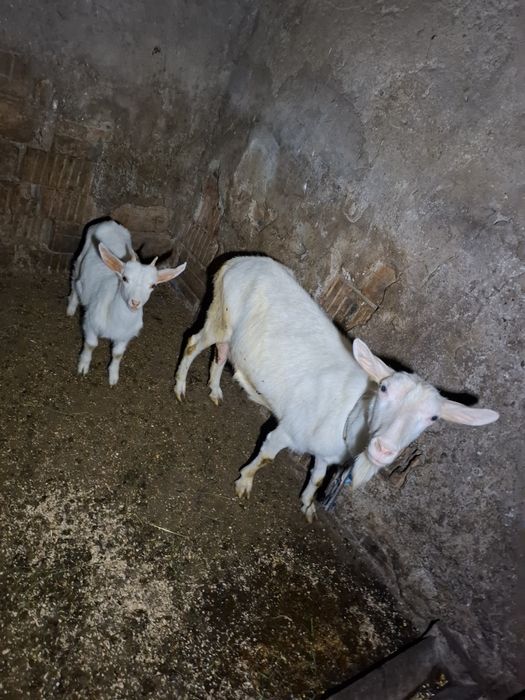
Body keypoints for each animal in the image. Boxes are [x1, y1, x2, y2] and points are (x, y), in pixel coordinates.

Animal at [67, 219, 186, 385]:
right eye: (124, 278)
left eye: (153, 285)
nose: (135, 302)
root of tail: (109, 221)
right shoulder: (90, 323)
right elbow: (91, 345)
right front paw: (83, 366)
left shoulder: (125, 336)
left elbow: (118, 354)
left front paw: (113, 377)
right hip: (80, 258)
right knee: (74, 280)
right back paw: (71, 308)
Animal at [174, 256, 499, 521]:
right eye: (384, 389)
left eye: (433, 418)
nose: (383, 450)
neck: (350, 414)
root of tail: (238, 261)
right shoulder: (288, 431)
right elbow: (266, 457)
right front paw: (244, 483)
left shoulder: (327, 455)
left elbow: (318, 478)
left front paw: (307, 506)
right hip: (221, 315)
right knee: (193, 343)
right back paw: (179, 387)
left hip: (229, 327)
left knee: (222, 352)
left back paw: (215, 391)